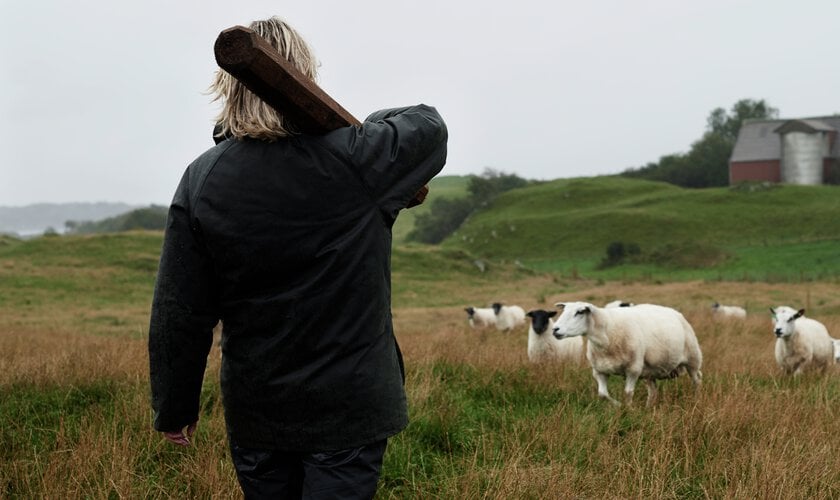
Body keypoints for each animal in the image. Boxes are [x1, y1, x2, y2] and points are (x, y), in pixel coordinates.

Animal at [552, 300, 704, 406]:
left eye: (579, 312)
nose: (555, 329)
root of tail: (676, 313)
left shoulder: (633, 369)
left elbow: (628, 393)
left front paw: (628, 409)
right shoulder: (599, 371)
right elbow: (602, 394)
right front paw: (618, 405)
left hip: (693, 359)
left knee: (697, 381)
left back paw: (697, 401)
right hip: (650, 370)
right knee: (653, 391)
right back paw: (648, 408)